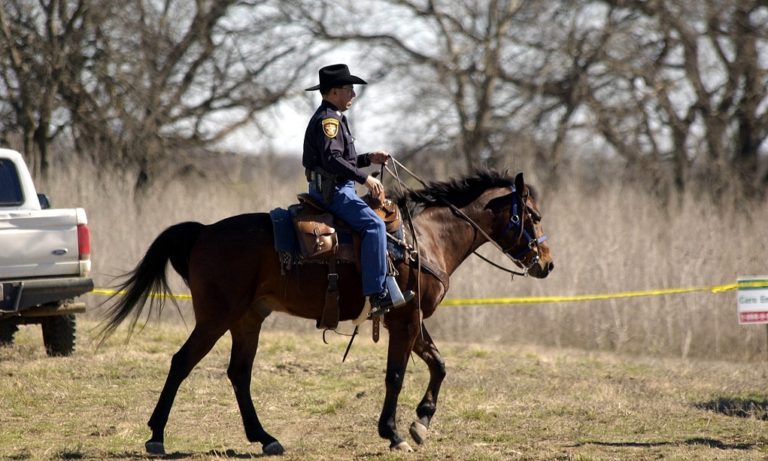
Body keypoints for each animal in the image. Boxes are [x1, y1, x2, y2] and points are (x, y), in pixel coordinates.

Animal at [100, 167, 552, 454]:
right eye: (532, 215)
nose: (546, 264)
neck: (424, 240)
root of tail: (204, 232)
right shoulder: (404, 320)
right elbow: (396, 375)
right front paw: (393, 433)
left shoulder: (410, 319)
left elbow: (438, 364)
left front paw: (421, 423)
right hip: (215, 318)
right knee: (182, 362)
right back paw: (157, 436)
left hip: (248, 319)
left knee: (239, 374)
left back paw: (265, 438)